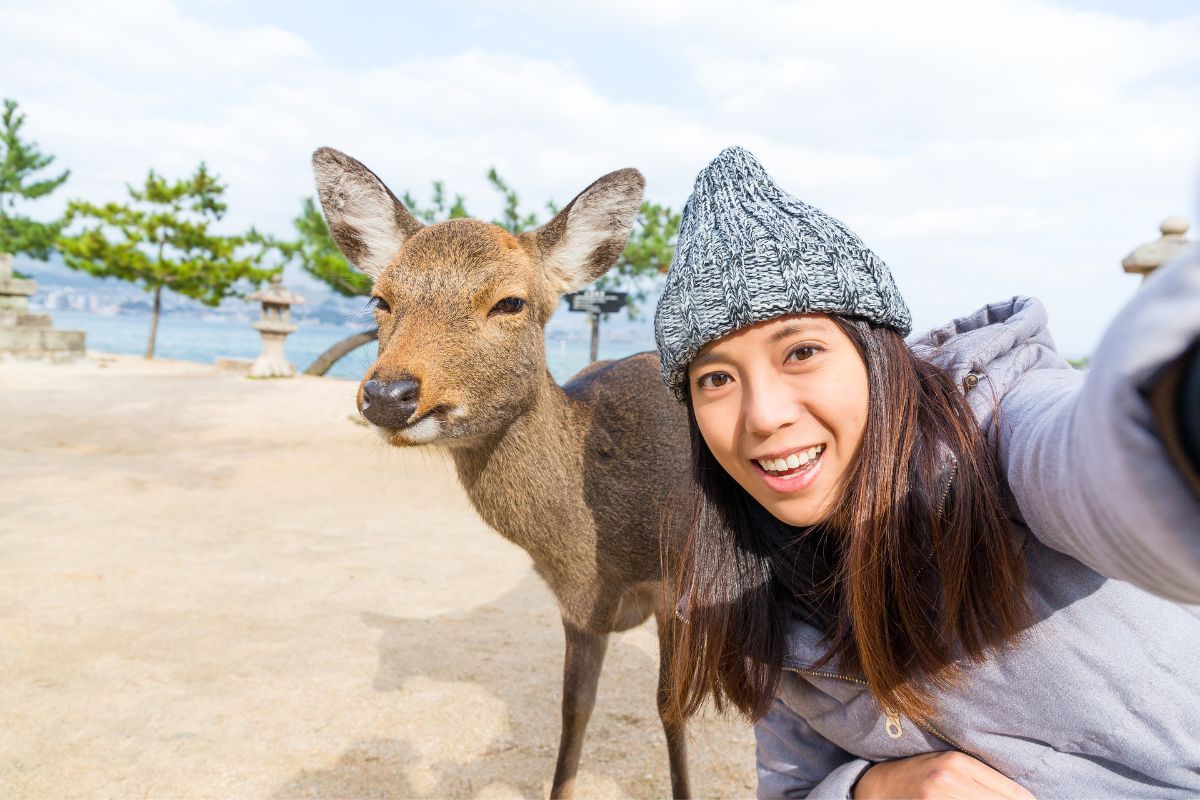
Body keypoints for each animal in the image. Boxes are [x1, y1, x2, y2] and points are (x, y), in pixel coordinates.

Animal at [309, 146, 696, 796]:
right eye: (379, 300)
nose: (387, 395)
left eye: (510, 302)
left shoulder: (680, 589)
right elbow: (573, 713)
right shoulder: (575, 609)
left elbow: (672, 715)